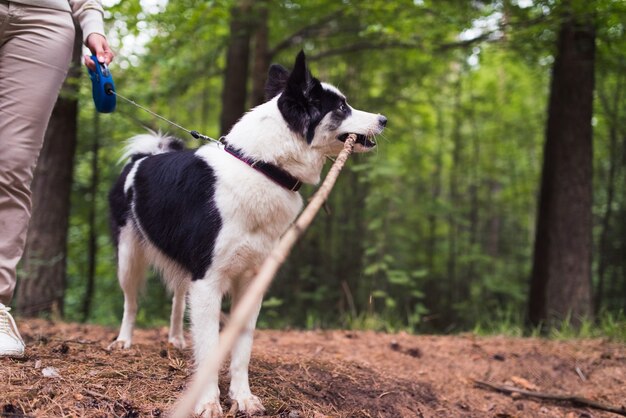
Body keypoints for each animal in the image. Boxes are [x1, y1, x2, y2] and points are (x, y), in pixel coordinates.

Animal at [107, 51, 386, 414]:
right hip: (129, 258)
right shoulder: (208, 282)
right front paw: (208, 402)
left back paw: (177, 339)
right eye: (341, 107)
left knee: (178, 299)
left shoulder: (250, 281)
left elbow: (241, 350)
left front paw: (242, 397)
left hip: (184, 268)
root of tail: (144, 157)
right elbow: (210, 348)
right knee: (131, 301)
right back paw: (124, 340)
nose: (384, 119)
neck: (263, 167)